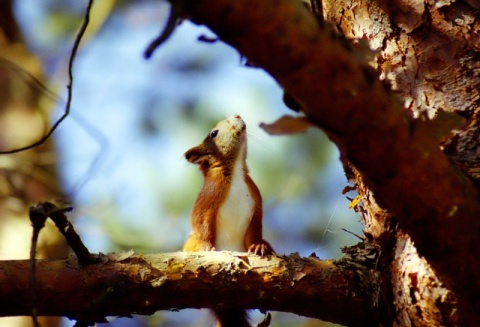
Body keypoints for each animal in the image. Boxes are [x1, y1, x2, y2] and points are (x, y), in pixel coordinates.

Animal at [185, 114, 274, 326]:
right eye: (214, 133)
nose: (237, 115)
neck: (236, 171)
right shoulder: (208, 198)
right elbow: (199, 221)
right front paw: (205, 247)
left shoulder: (256, 199)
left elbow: (256, 226)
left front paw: (258, 246)